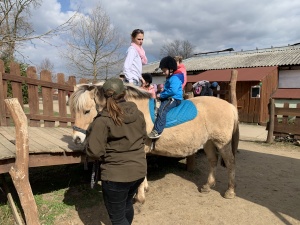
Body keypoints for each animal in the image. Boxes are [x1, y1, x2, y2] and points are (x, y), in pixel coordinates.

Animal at [69, 82, 239, 202]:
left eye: (86, 111)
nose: (77, 138)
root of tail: (230, 106)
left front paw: (139, 196)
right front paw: (144, 188)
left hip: (222, 142)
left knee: (230, 162)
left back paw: (230, 191)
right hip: (209, 141)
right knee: (213, 160)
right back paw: (207, 186)